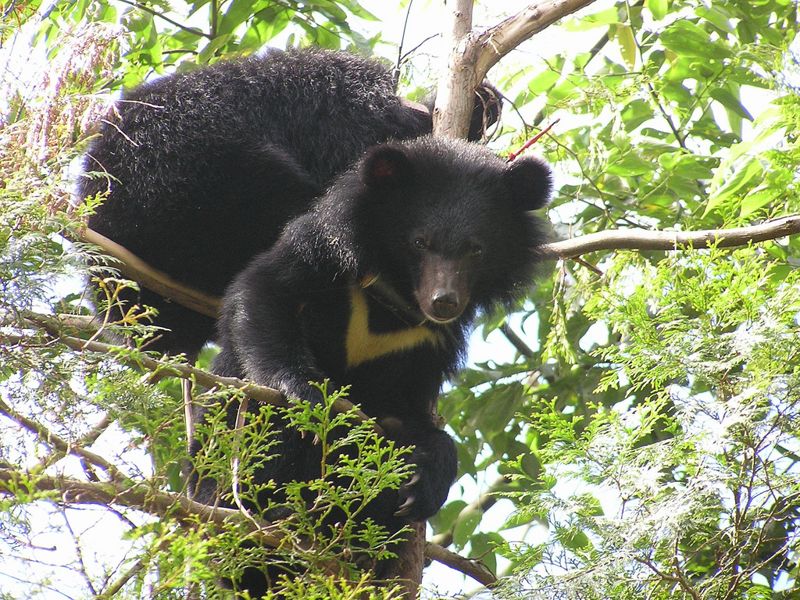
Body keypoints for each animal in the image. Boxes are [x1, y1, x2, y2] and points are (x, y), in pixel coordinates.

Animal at [191, 135, 552, 596]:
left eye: (476, 248)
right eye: (420, 242)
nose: (444, 302)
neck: (397, 300)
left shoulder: (430, 344)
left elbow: (409, 414)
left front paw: (425, 481)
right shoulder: (322, 248)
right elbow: (263, 292)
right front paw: (303, 393)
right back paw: (272, 523)